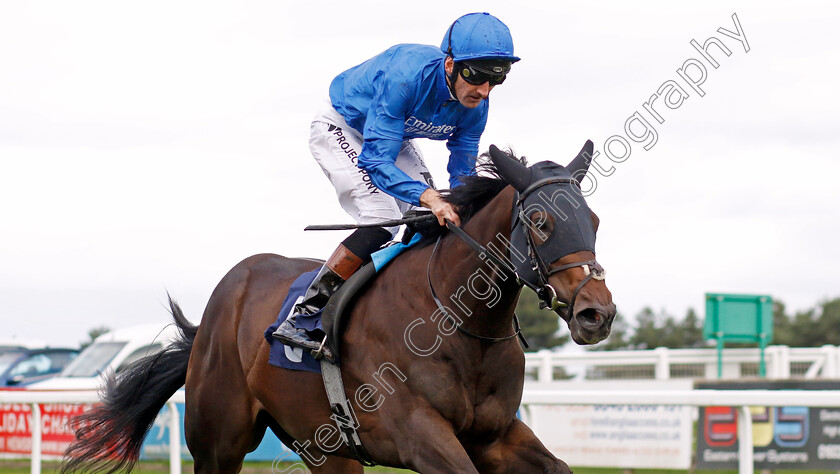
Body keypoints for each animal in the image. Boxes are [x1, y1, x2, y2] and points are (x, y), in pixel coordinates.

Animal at [62, 143, 616, 472]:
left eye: (593, 219)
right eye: (541, 221)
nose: (597, 313)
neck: (459, 320)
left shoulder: (496, 434)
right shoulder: (418, 435)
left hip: (324, 446)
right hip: (218, 438)